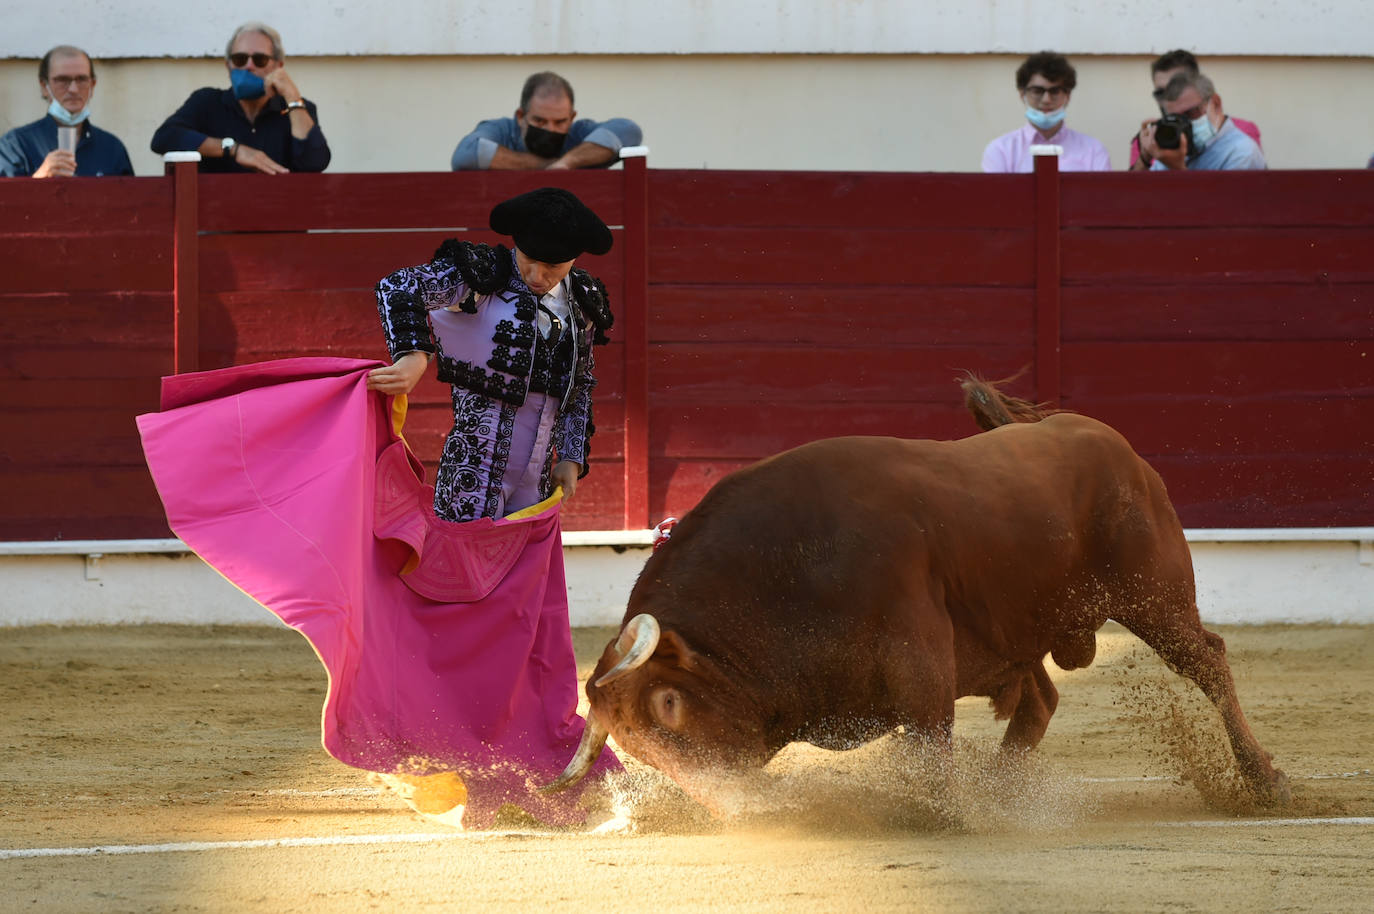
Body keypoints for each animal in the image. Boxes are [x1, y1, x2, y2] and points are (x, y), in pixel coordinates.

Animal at [544, 376, 1286, 808]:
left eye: (668, 704)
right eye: (635, 748)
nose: (738, 810)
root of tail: (1105, 439)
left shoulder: (916, 648)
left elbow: (928, 740)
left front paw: (938, 813)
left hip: (1155, 596)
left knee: (1208, 662)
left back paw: (1265, 780)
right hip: (1015, 632)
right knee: (1040, 699)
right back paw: (1000, 796)